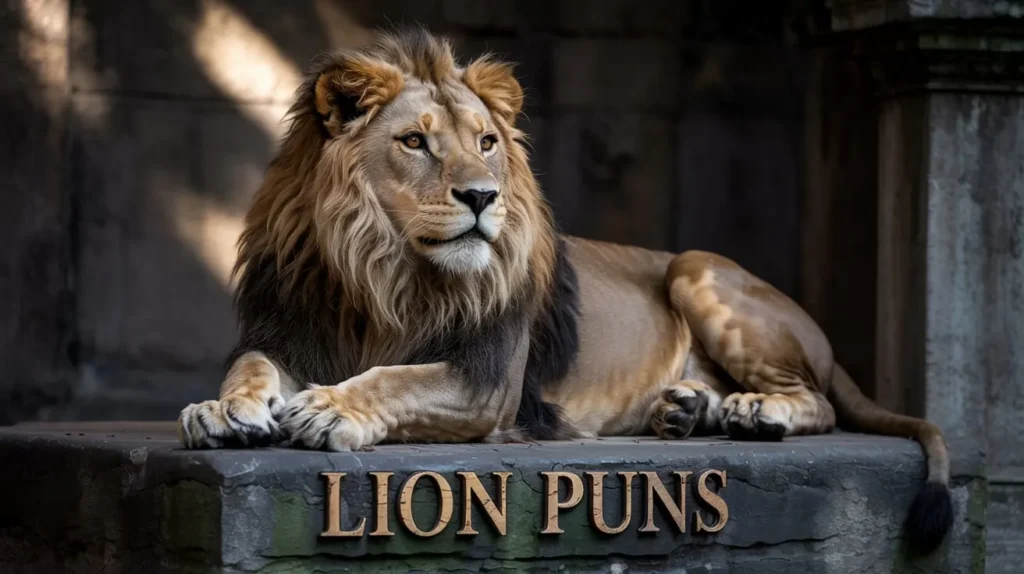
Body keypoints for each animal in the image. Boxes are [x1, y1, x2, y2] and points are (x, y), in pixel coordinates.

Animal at [177, 27, 952, 552]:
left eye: (487, 142)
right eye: (415, 143)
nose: (482, 196)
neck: (383, 273)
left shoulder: (486, 380)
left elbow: (396, 378)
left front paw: (329, 408)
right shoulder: (288, 331)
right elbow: (250, 367)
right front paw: (221, 410)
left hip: (694, 265)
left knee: (820, 400)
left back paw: (756, 411)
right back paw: (688, 411)